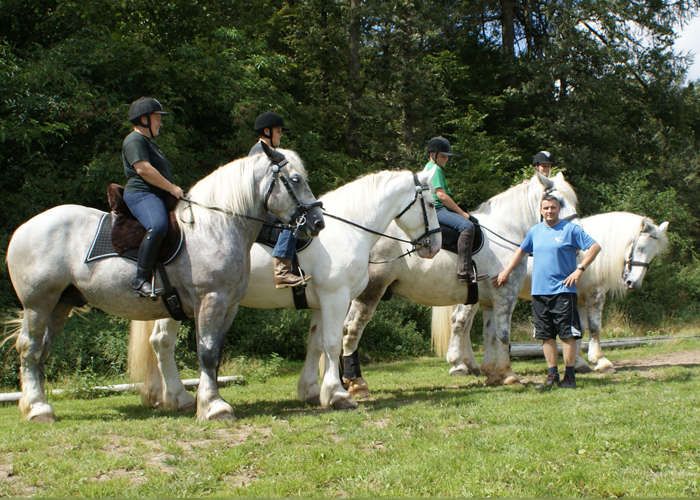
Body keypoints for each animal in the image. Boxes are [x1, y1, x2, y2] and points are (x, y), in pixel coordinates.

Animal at [5, 146, 324, 422]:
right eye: (295, 179)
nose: (318, 222)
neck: (216, 227)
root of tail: (23, 229)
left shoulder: (229, 305)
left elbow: (215, 354)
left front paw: (208, 401)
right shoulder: (211, 299)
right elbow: (207, 352)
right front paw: (215, 407)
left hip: (61, 303)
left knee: (42, 350)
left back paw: (37, 404)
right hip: (38, 304)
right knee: (30, 347)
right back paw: (38, 409)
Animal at [129, 170, 440, 412]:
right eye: (431, 204)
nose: (435, 245)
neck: (347, 229)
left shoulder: (320, 303)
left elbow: (315, 345)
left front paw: (312, 392)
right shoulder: (335, 297)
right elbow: (331, 344)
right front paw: (337, 395)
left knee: (158, 342)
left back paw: (165, 396)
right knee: (163, 343)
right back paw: (180, 397)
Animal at [340, 173, 580, 394]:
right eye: (558, 201)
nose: (576, 237)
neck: (506, 229)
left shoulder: (488, 301)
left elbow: (489, 335)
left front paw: (492, 374)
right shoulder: (505, 294)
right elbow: (503, 335)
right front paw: (508, 374)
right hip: (371, 290)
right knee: (352, 328)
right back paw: (357, 383)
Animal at [434, 210, 668, 376]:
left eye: (654, 253)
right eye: (640, 247)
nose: (633, 283)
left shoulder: (579, 299)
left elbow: (579, 330)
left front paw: (579, 362)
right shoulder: (595, 295)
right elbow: (595, 328)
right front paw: (601, 361)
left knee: (465, 327)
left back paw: (472, 365)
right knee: (460, 323)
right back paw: (460, 365)